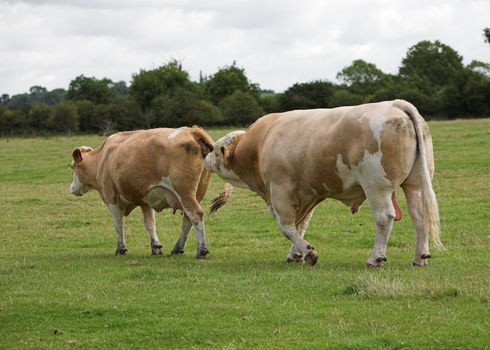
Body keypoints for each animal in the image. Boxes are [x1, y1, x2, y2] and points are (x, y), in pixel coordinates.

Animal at [70, 126, 215, 258]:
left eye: (72, 166)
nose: (71, 188)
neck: (103, 157)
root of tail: (192, 130)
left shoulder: (110, 196)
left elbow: (118, 223)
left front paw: (120, 249)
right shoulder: (145, 200)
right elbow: (149, 224)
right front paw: (156, 247)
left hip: (184, 193)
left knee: (195, 215)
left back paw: (201, 251)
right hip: (197, 193)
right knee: (188, 220)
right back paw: (177, 248)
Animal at [205, 100, 446, 266]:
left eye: (215, 149)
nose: (205, 158)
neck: (259, 145)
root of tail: (396, 104)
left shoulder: (280, 191)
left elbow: (286, 226)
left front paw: (309, 253)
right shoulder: (307, 195)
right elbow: (300, 225)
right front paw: (296, 254)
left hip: (377, 187)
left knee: (384, 217)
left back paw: (375, 258)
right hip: (415, 183)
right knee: (419, 215)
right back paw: (420, 257)